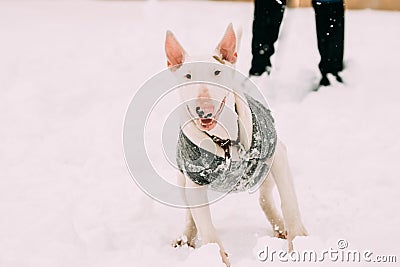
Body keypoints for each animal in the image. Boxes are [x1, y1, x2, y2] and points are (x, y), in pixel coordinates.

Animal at [165, 24, 306, 266]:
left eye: (217, 72)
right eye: (188, 75)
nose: (204, 108)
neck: (224, 140)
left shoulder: (278, 155)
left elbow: (289, 202)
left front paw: (300, 243)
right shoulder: (193, 179)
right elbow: (205, 225)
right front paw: (217, 258)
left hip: (265, 172)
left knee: (264, 197)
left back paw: (281, 228)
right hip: (182, 179)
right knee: (190, 215)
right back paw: (185, 239)